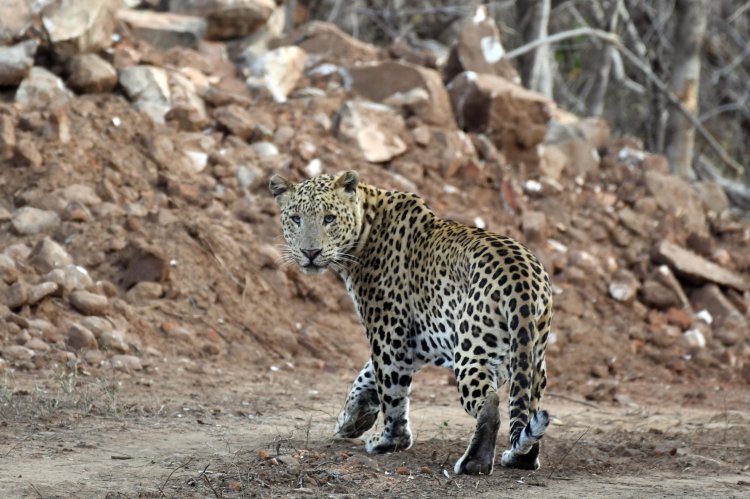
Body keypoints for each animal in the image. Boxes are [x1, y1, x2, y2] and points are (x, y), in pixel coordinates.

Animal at [268, 170, 552, 474]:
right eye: (296, 218)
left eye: (329, 218)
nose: (310, 252)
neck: (366, 226)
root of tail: (521, 282)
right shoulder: (418, 343)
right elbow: (366, 376)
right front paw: (352, 420)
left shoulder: (389, 333)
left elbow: (389, 388)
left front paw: (388, 441)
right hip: (531, 358)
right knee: (528, 407)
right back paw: (520, 458)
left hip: (472, 350)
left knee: (488, 403)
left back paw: (474, 462)